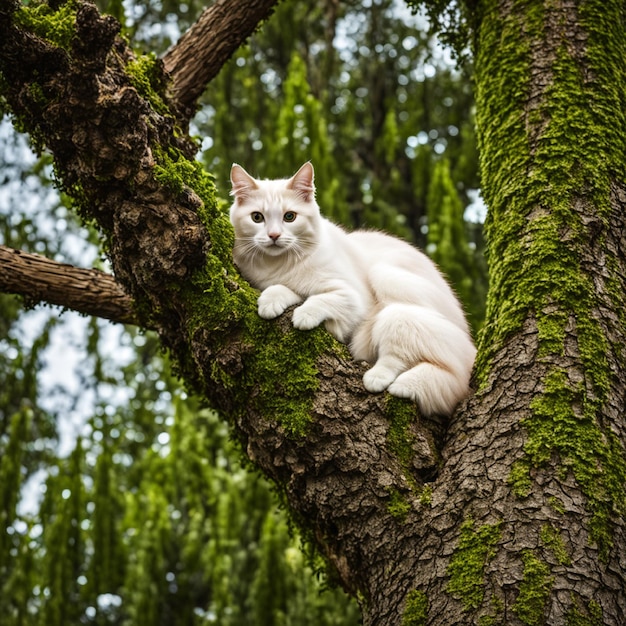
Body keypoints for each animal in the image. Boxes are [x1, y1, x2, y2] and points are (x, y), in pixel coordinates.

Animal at [229, 161, 472, 414]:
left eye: (290, 217)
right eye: (257, 217)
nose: (274, 235)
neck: (278, 265)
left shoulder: (352, 299)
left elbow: (319, 299)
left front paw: (304, 315)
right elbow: (285, 289)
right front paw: (271, 301)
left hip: (389, 287)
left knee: (408, 360)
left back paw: (384, 380)